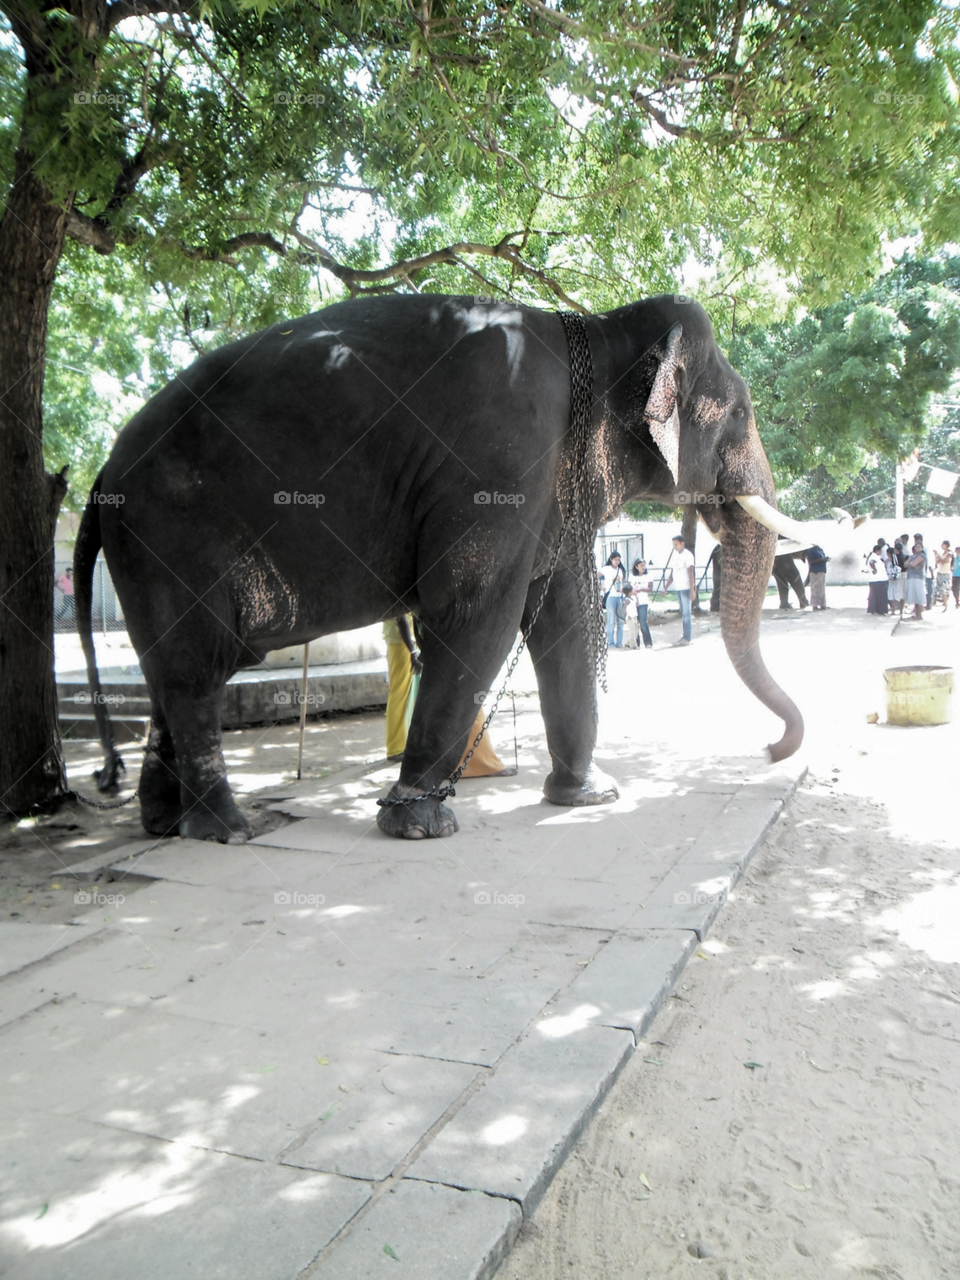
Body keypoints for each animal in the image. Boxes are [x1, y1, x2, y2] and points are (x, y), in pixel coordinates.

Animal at [74, 293, 804, 843]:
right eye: (741, 412)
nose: (769, 750)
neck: (593, 326)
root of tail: (101, 476)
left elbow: (563, 619)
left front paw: (589, 798)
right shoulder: (502, 458)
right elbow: (478, 612)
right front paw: (422, 824)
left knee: (171, 676)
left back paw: (165, 824)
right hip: (169, 534)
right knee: (195, 676)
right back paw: (227, 831)